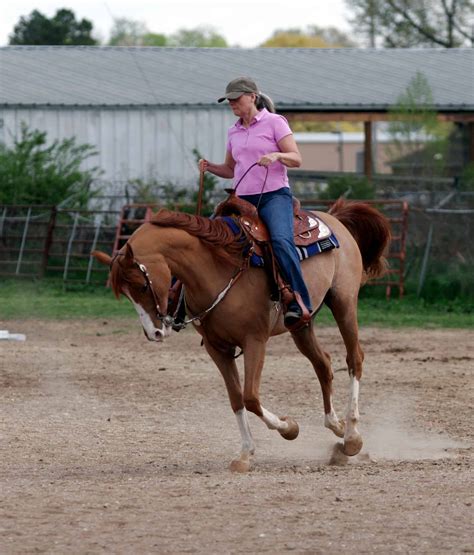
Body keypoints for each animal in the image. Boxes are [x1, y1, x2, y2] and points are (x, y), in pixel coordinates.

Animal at [92, 201, 388, 474]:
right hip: (302, 325)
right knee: (323, 364)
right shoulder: (217, 349)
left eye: (141, 285)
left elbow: (250, 397)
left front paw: (289, 428)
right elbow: (236, 398)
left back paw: (352, 437)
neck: (215, 269)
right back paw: (337, 428)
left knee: (354, 359)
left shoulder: (254, 341)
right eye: (125, 293)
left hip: (343, 302)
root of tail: (333, 218)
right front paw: (246, 454)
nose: (153, 332)